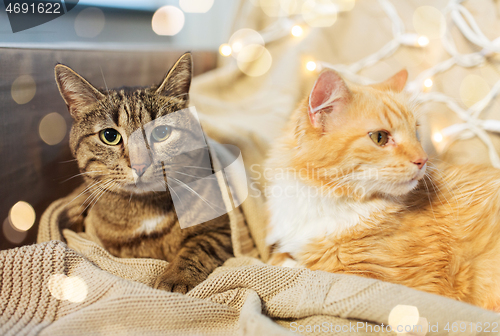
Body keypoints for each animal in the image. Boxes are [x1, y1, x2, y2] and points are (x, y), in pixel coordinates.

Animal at [53, 53, 233, 294]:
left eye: (162, 132)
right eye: (109, 136)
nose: (140, 165)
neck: (145, 210)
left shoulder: (221, 229)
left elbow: (198, 248)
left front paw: (175, 277)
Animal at [268, 69, 500, 312]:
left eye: (416, 134)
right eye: (380, 138)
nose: (423, 160)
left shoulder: (381, 281)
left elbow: (307, 268)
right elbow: (279, 256)